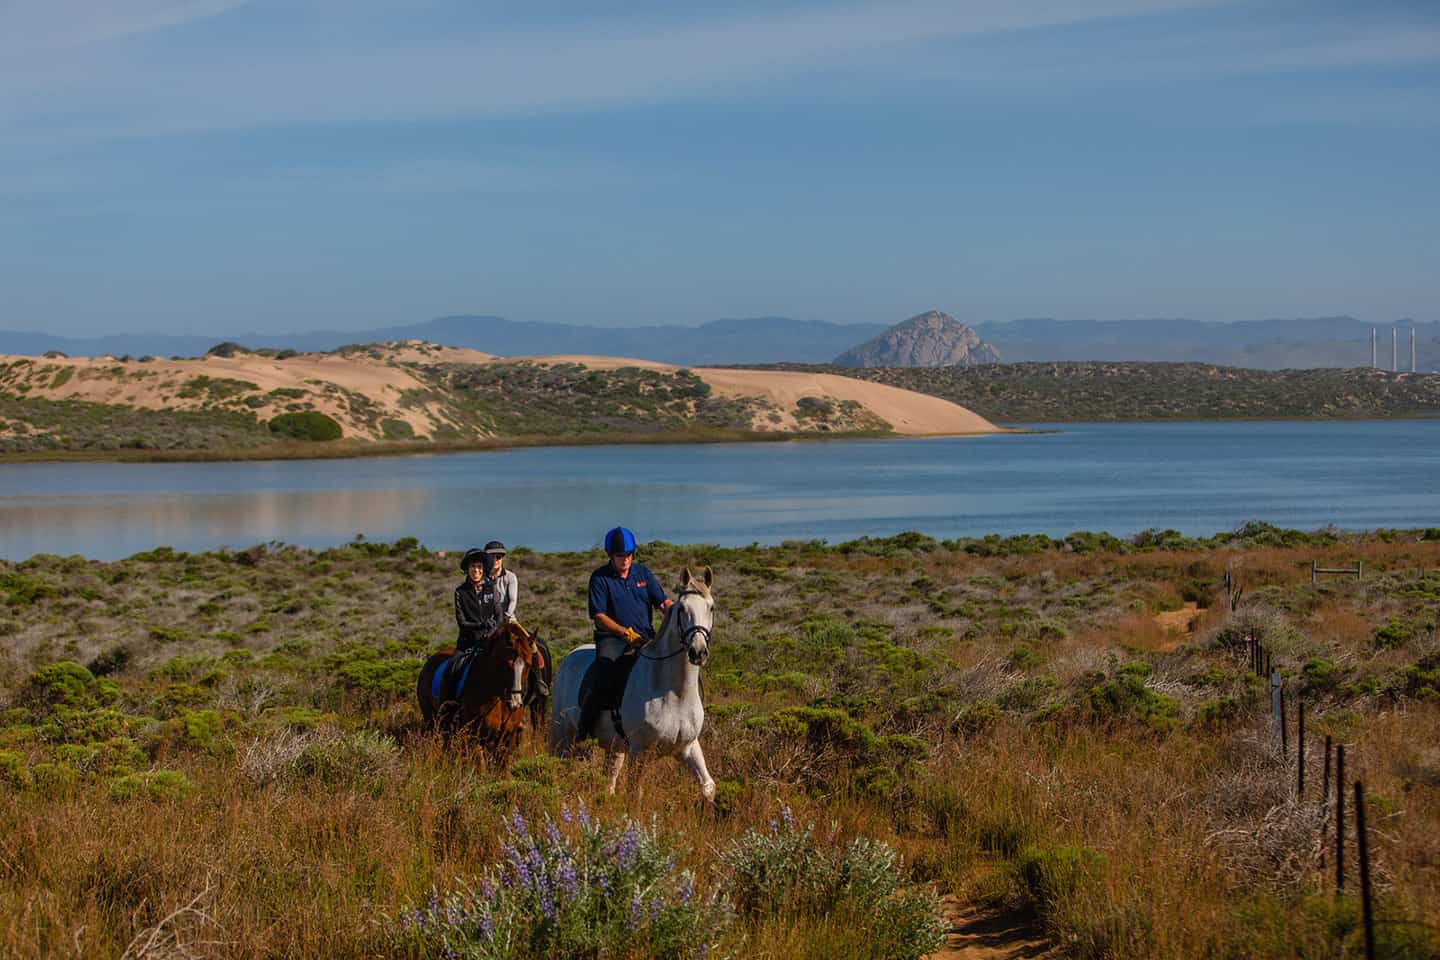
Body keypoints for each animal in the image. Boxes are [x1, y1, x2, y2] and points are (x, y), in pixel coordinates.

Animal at [420, 624, 552, 765]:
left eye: (528, 664)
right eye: (506, 663)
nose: (515, 702)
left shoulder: (508, 737)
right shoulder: (476, 736)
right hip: (432, 721)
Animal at [547, 569, 717, 805]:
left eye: (711, 607)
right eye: (682, 609)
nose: (698, 652)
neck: (675, 694)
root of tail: (570, 655)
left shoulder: (688, 747)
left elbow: (708, 787)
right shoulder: (639, 750)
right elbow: (635, 795)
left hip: (614, 747)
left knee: (609, 780)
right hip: (564, 736)